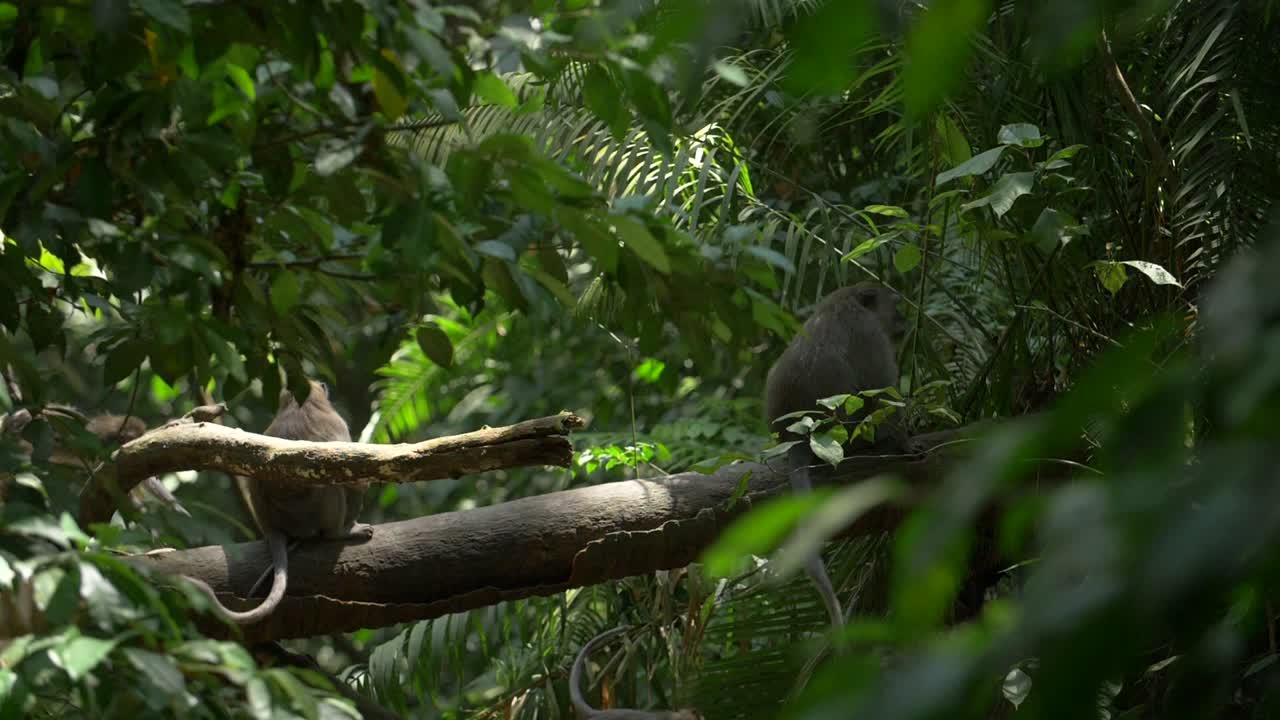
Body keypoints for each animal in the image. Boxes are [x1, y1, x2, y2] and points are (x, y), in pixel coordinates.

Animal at [188, 378, 374, 625]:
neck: (297, 404)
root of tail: (272, 527)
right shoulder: (337, 423)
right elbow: (356, 480)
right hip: (309, 517)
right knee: (332, 486)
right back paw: (339, 532)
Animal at [764, 281, 909, 629]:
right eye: (895, 305)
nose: (904, 321)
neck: (847, 300)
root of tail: (796, 438)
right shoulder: (871, 334)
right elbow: (881, 390)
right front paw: (905, 433)